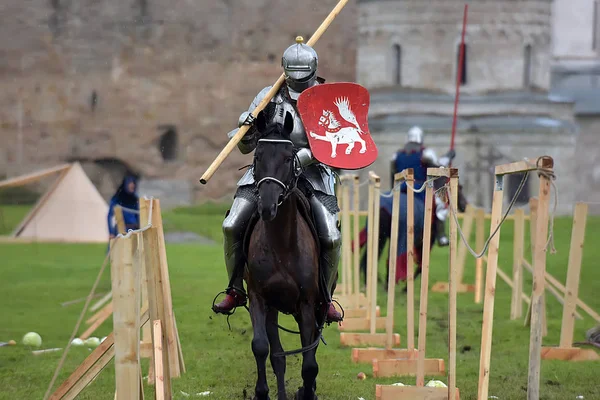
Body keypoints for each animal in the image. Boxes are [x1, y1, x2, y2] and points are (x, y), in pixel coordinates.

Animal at [245, 110, 326, 400]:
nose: (267, 206)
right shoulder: (260, 299)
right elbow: (262, 347)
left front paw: (308, 391)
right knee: (277, 355)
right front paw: (262, 392)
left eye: (288, 158)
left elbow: (310, 362)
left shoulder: (308, 304)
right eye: (258, 156)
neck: (281, 245)